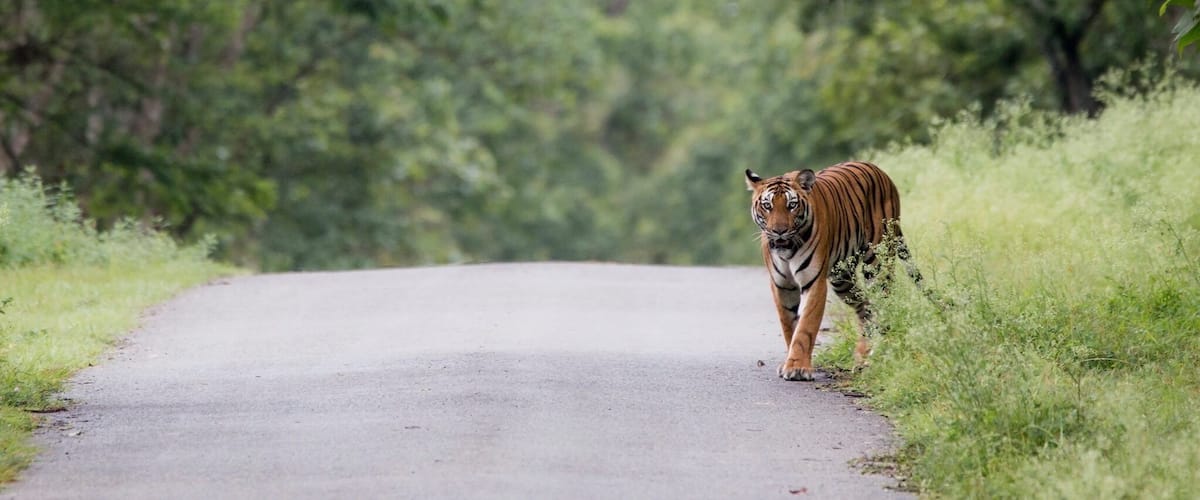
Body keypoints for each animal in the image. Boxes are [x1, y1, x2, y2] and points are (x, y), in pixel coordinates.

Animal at [745, 161, 924, 381]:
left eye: (791, 205)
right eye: (767, 206)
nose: (779, 231)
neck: (788, 249)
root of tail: (882, 173)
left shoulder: (814, 282)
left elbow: (805, 327)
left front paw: (798, 367)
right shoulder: (781, 285)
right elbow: (788, 326)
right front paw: (790, 361)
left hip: (878, 265)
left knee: (885, 306)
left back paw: (879, 353)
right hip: (843, 279)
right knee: (865, 307)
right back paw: (863, 355)